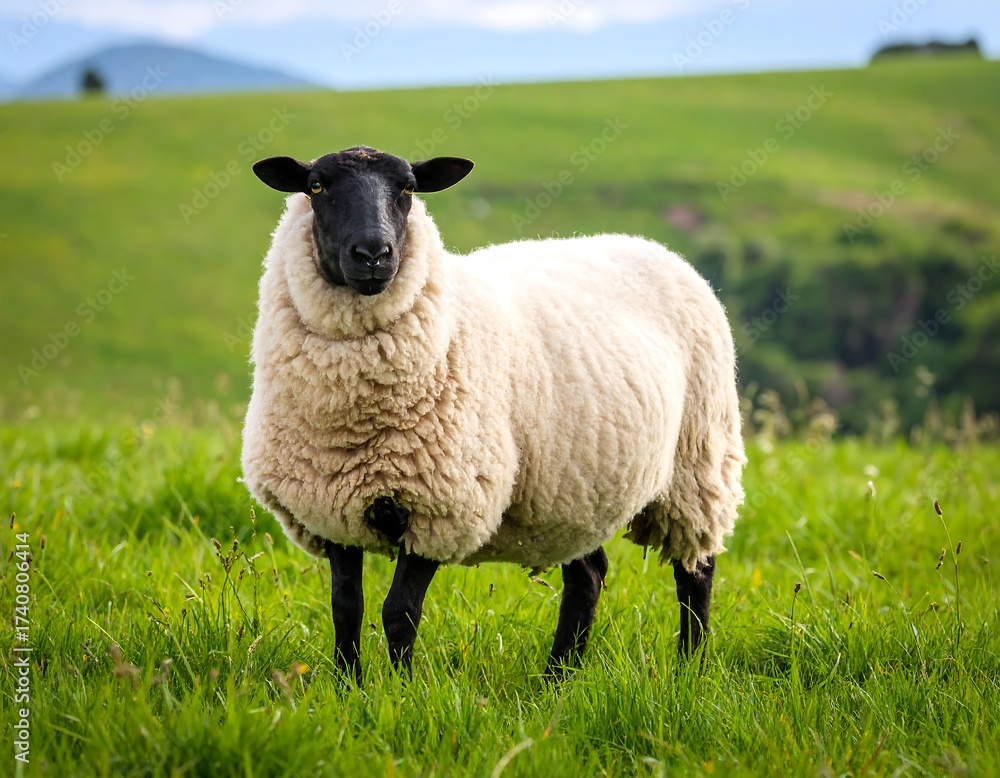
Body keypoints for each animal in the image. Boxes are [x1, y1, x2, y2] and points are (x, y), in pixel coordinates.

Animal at [242, 145, 745, 684]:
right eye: (316, 187)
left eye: (408, 188)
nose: (374, 254)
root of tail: (656, 248)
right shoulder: (331, 506)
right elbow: (346, 607)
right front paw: (348, 686)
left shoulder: (443, 505)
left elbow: (399, 612)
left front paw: (398, 689)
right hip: (576, 487)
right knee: (589, 575)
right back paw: (556, 679)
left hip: (698, 465)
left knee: (696, 573)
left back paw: (689, 668)